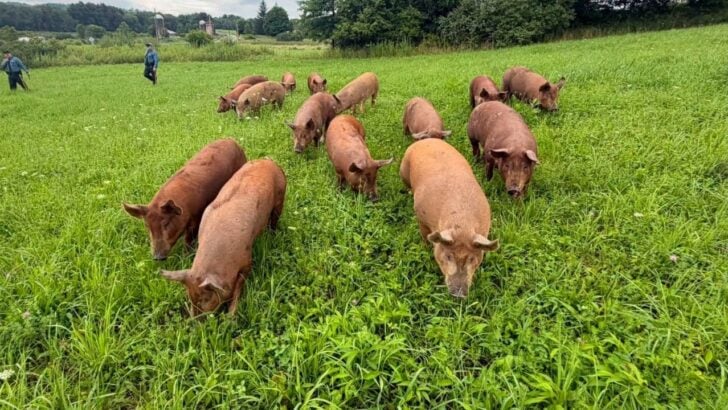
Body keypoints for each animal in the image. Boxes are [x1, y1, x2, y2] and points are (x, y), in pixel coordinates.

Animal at [161, 159, 286, 316]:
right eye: (190, 297)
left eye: (206, 299)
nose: (195, 319)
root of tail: (268, 160)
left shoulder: (247, 258)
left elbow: (239, 287)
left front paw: (231, 315)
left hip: (281, 197)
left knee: (274, 220)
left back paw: (272, 236)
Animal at [399, 138, 499, 298]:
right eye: (448, 257)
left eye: (472, 259)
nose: (458, 294)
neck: (462, 226)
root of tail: (426, 139)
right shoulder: (420, 215)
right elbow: (424, 236)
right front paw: (425, 247)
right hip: (403, 169)